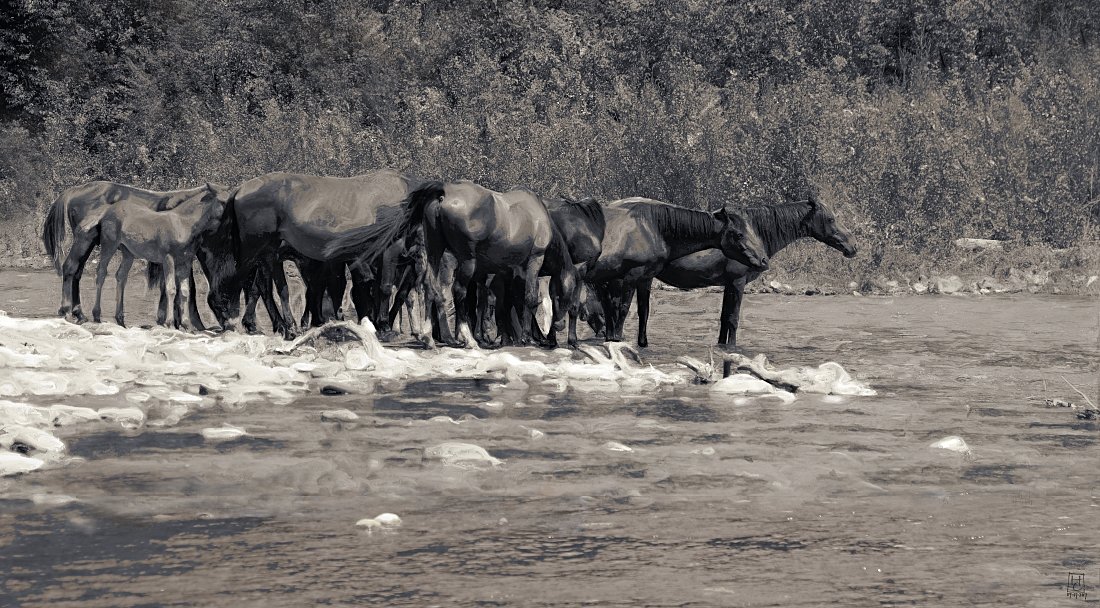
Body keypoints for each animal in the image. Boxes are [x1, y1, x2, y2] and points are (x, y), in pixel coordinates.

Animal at [41, 180, 236, 329]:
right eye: (224, 202)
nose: (230, 325)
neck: (182, 221)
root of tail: (73, 191)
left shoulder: (185, 260)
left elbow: (185, 290)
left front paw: (186, 324)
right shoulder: (169, 259)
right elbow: (171, 288)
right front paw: (171, 322)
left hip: (118, 250)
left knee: (95, 273)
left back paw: (92, 315)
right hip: (94, 242)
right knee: (80, 269)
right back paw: (75, 312)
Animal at [222, 169, 420, 340]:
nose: (370, 322)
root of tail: (240, 189)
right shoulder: (388, 250)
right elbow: (381, 287)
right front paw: (384, 325)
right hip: (256, 253)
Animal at [325, 180, 580, 345]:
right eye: (566, 293)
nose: (559, 325)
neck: (539, 218)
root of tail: (443, 193)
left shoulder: (507, 271)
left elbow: (504, 302)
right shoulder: (532, 261)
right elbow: (527, 298)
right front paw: (528, 337)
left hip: (435, 253)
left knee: (431, 288)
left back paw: (430, 336)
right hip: (465, 261)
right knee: (457, 292)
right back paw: (465, 338)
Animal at [589, 197, 770, 345]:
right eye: (739, 234)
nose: (764, 260)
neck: (651, 228)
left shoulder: (644, 278)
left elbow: (642, 311)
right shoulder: (630, 276)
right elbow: (623, 309)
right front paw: (616, 339)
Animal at [651, 194, 858, 345]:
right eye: (830, 219)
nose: (853, 246)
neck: (753, 236)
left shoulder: (729, 285)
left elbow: (724, 319)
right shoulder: (737, 282)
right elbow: (733, 320)